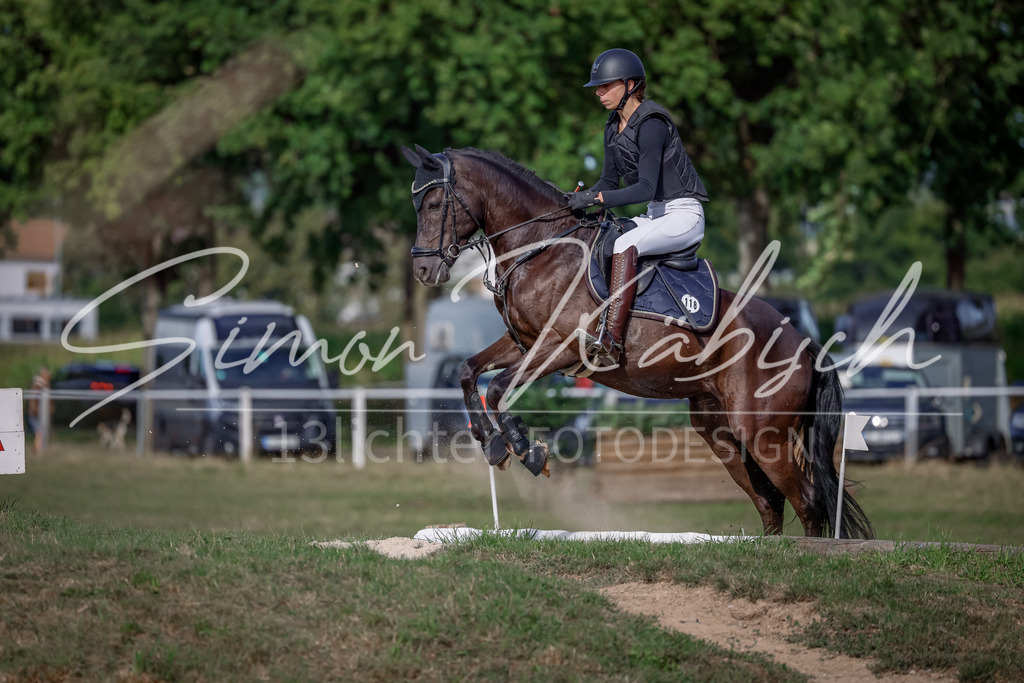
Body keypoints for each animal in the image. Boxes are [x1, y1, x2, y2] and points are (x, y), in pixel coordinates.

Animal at [402, 144, 873, 539]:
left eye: (434, 204)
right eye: (416, 205)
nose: (423, 273)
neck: (542, 248)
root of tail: (804, 344)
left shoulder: (561, 346)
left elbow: (499, 387)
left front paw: (520, 447)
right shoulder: (524, 343)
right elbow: (469, 372)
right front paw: (490, 440)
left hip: (762, 433)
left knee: (806, 500)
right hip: (720, 431)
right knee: (769, 502)